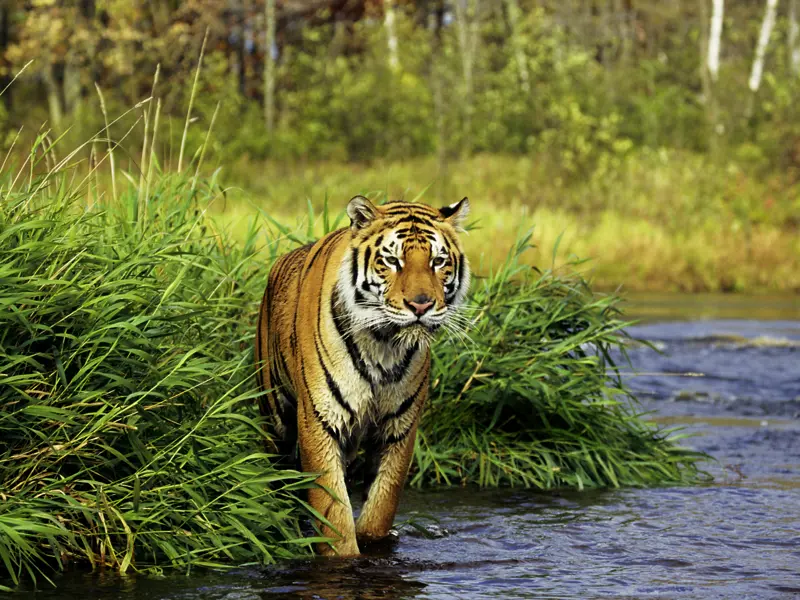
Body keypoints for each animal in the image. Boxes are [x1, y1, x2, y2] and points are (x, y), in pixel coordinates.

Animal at [255, 197, 468, 556]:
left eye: (438, 261)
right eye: (392, 261)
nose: (420, 306)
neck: (383, 343)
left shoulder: (399, 427)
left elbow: (382, 503)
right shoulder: (320, 420)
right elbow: (332, 512)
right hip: (275, 416)